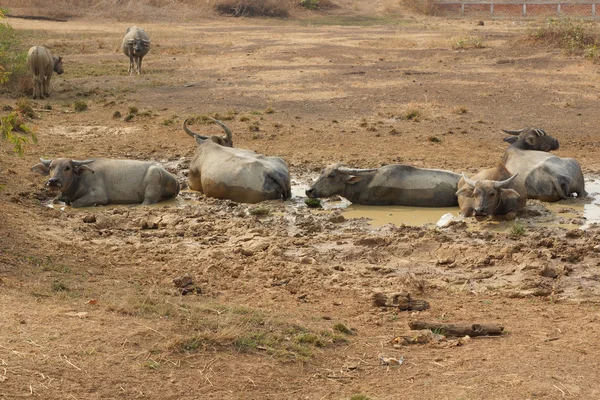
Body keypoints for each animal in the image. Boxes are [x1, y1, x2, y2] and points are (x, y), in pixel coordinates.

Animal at [31, 158, 179, 208]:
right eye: (51, 167)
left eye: (67, 167)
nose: (53, 181)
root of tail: (175, 179)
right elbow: (55, 200)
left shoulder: (99, 195)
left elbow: (75, 204)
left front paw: (96, 205)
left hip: (151, 185)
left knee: (147, 202)